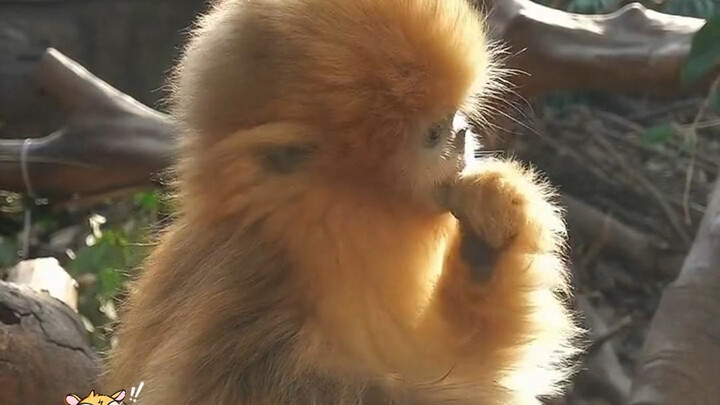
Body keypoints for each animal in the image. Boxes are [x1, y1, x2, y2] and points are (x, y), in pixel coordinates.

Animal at [102, 0, 580, 404]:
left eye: (455, 117)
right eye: (433, 134)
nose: (462, 133)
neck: (316, 236)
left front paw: (492, 224)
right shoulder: (251, 281)